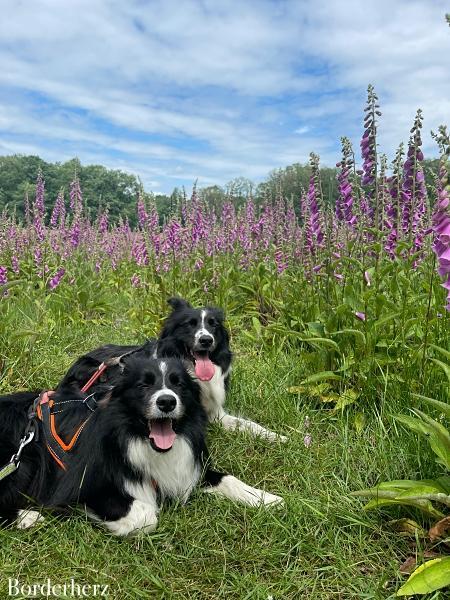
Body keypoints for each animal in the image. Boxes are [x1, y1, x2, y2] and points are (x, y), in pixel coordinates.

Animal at [0, 354, 282, 536]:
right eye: (144, 384)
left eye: (178, 383)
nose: (167, 402)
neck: (137, 439)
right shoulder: (78, 487)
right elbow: (147, 515)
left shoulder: (189, 468)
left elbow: (228, 479)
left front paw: (267, 499)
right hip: (23, 461)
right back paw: (26, 517)